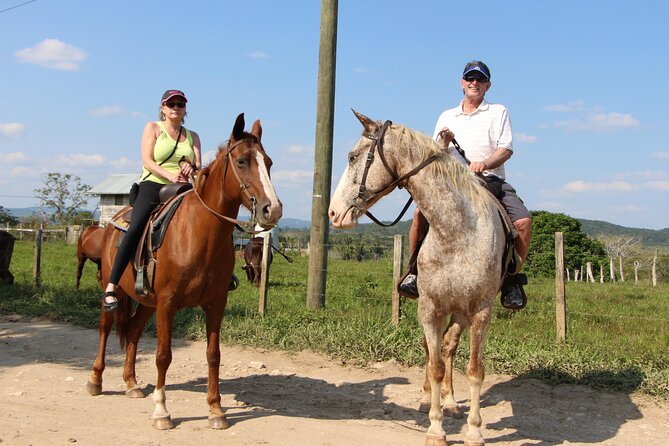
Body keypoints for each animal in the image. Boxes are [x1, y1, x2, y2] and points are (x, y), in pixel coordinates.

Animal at [87, 113, 282, 430]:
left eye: (268, 162)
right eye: (242, 161)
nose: (272, 209)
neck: (199, 233)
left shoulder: (215, 304)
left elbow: (213, 355)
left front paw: (216, 410)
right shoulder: (168, 303)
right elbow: (163, 355)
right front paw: (161, 412)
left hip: (147, 301)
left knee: (134, 331)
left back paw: (131, 383)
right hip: (112, 288)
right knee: (105, 327)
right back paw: (95, 379)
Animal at [326, 109, 504, 446]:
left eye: (352, 156)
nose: (333, 213)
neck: (456, 231)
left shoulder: (481, 311)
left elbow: (475, 371)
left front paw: (474, 431)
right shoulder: (429, 307)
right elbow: (434, 367)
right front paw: (435, 429)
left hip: (460, 312)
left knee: (449, 347)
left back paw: (451, 403)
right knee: (433, 350)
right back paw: (427, 400)